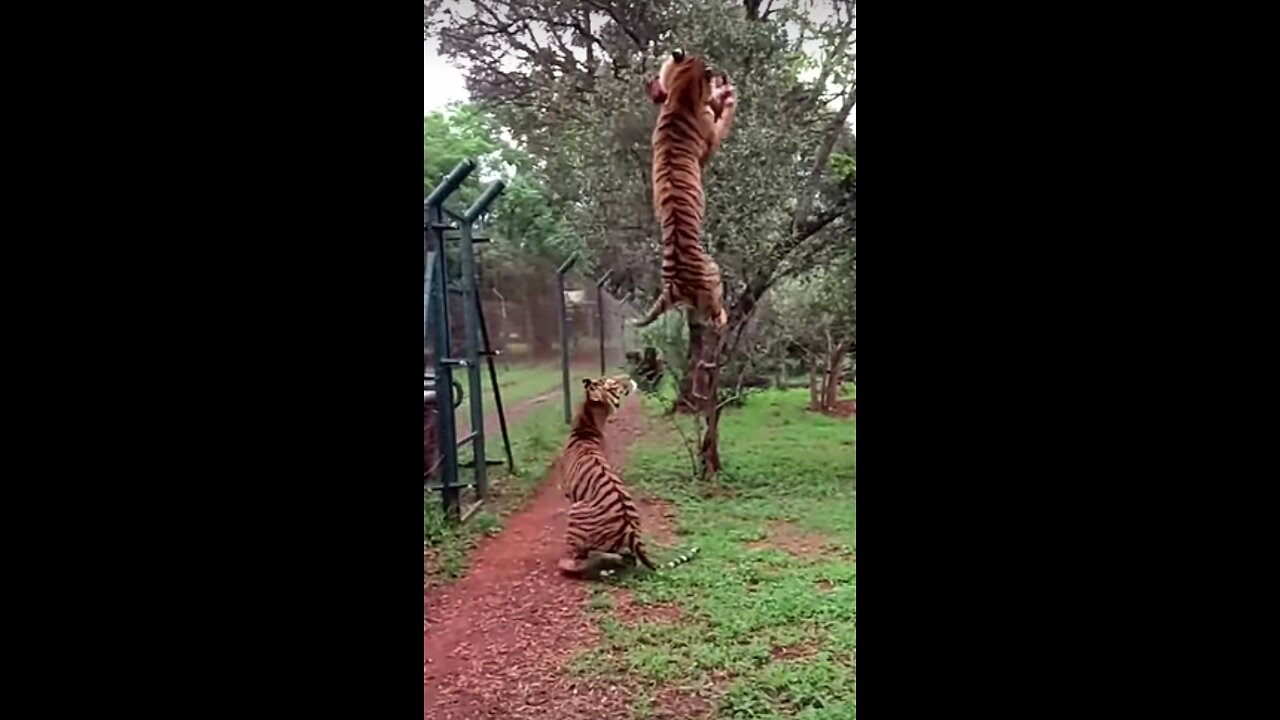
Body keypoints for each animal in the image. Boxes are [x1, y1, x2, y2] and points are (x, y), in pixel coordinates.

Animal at [555, 371, 701, 573]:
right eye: (611, 382)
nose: (628, 376)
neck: (586, 427)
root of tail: (632, 533)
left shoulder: (570, 494)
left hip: (576, 511)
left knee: (581, 561)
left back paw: (568, 563)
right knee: (627, 559)